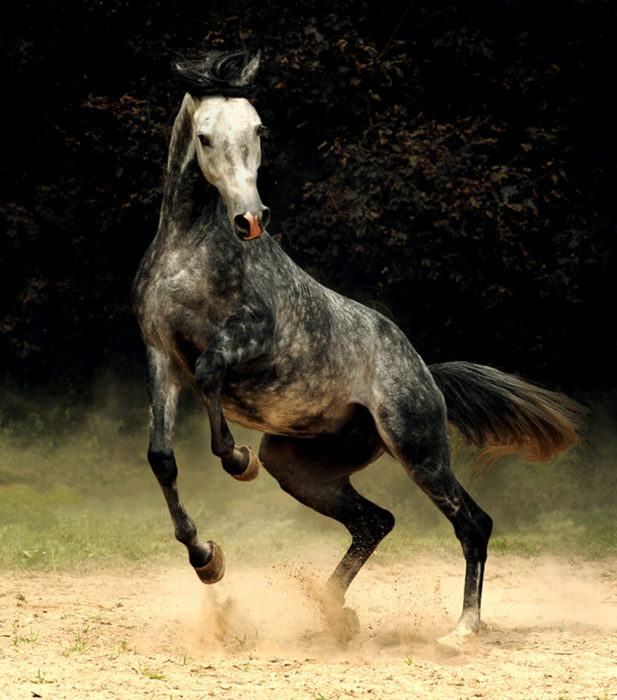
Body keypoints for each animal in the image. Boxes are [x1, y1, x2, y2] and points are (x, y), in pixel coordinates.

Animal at [132, 52, 584, 644]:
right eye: (205, 137)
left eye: (259, 129)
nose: (251, 219)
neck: (191, 254)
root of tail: (426, 373)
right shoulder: (160, 353)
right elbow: (162, 457)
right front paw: (207, 559)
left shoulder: (254, 334)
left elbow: (209, 371)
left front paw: (236, 460)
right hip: (302, 468)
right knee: (377, 520)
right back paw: (333, 612)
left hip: (417, 448)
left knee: (473, 523)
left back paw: (462, 630)